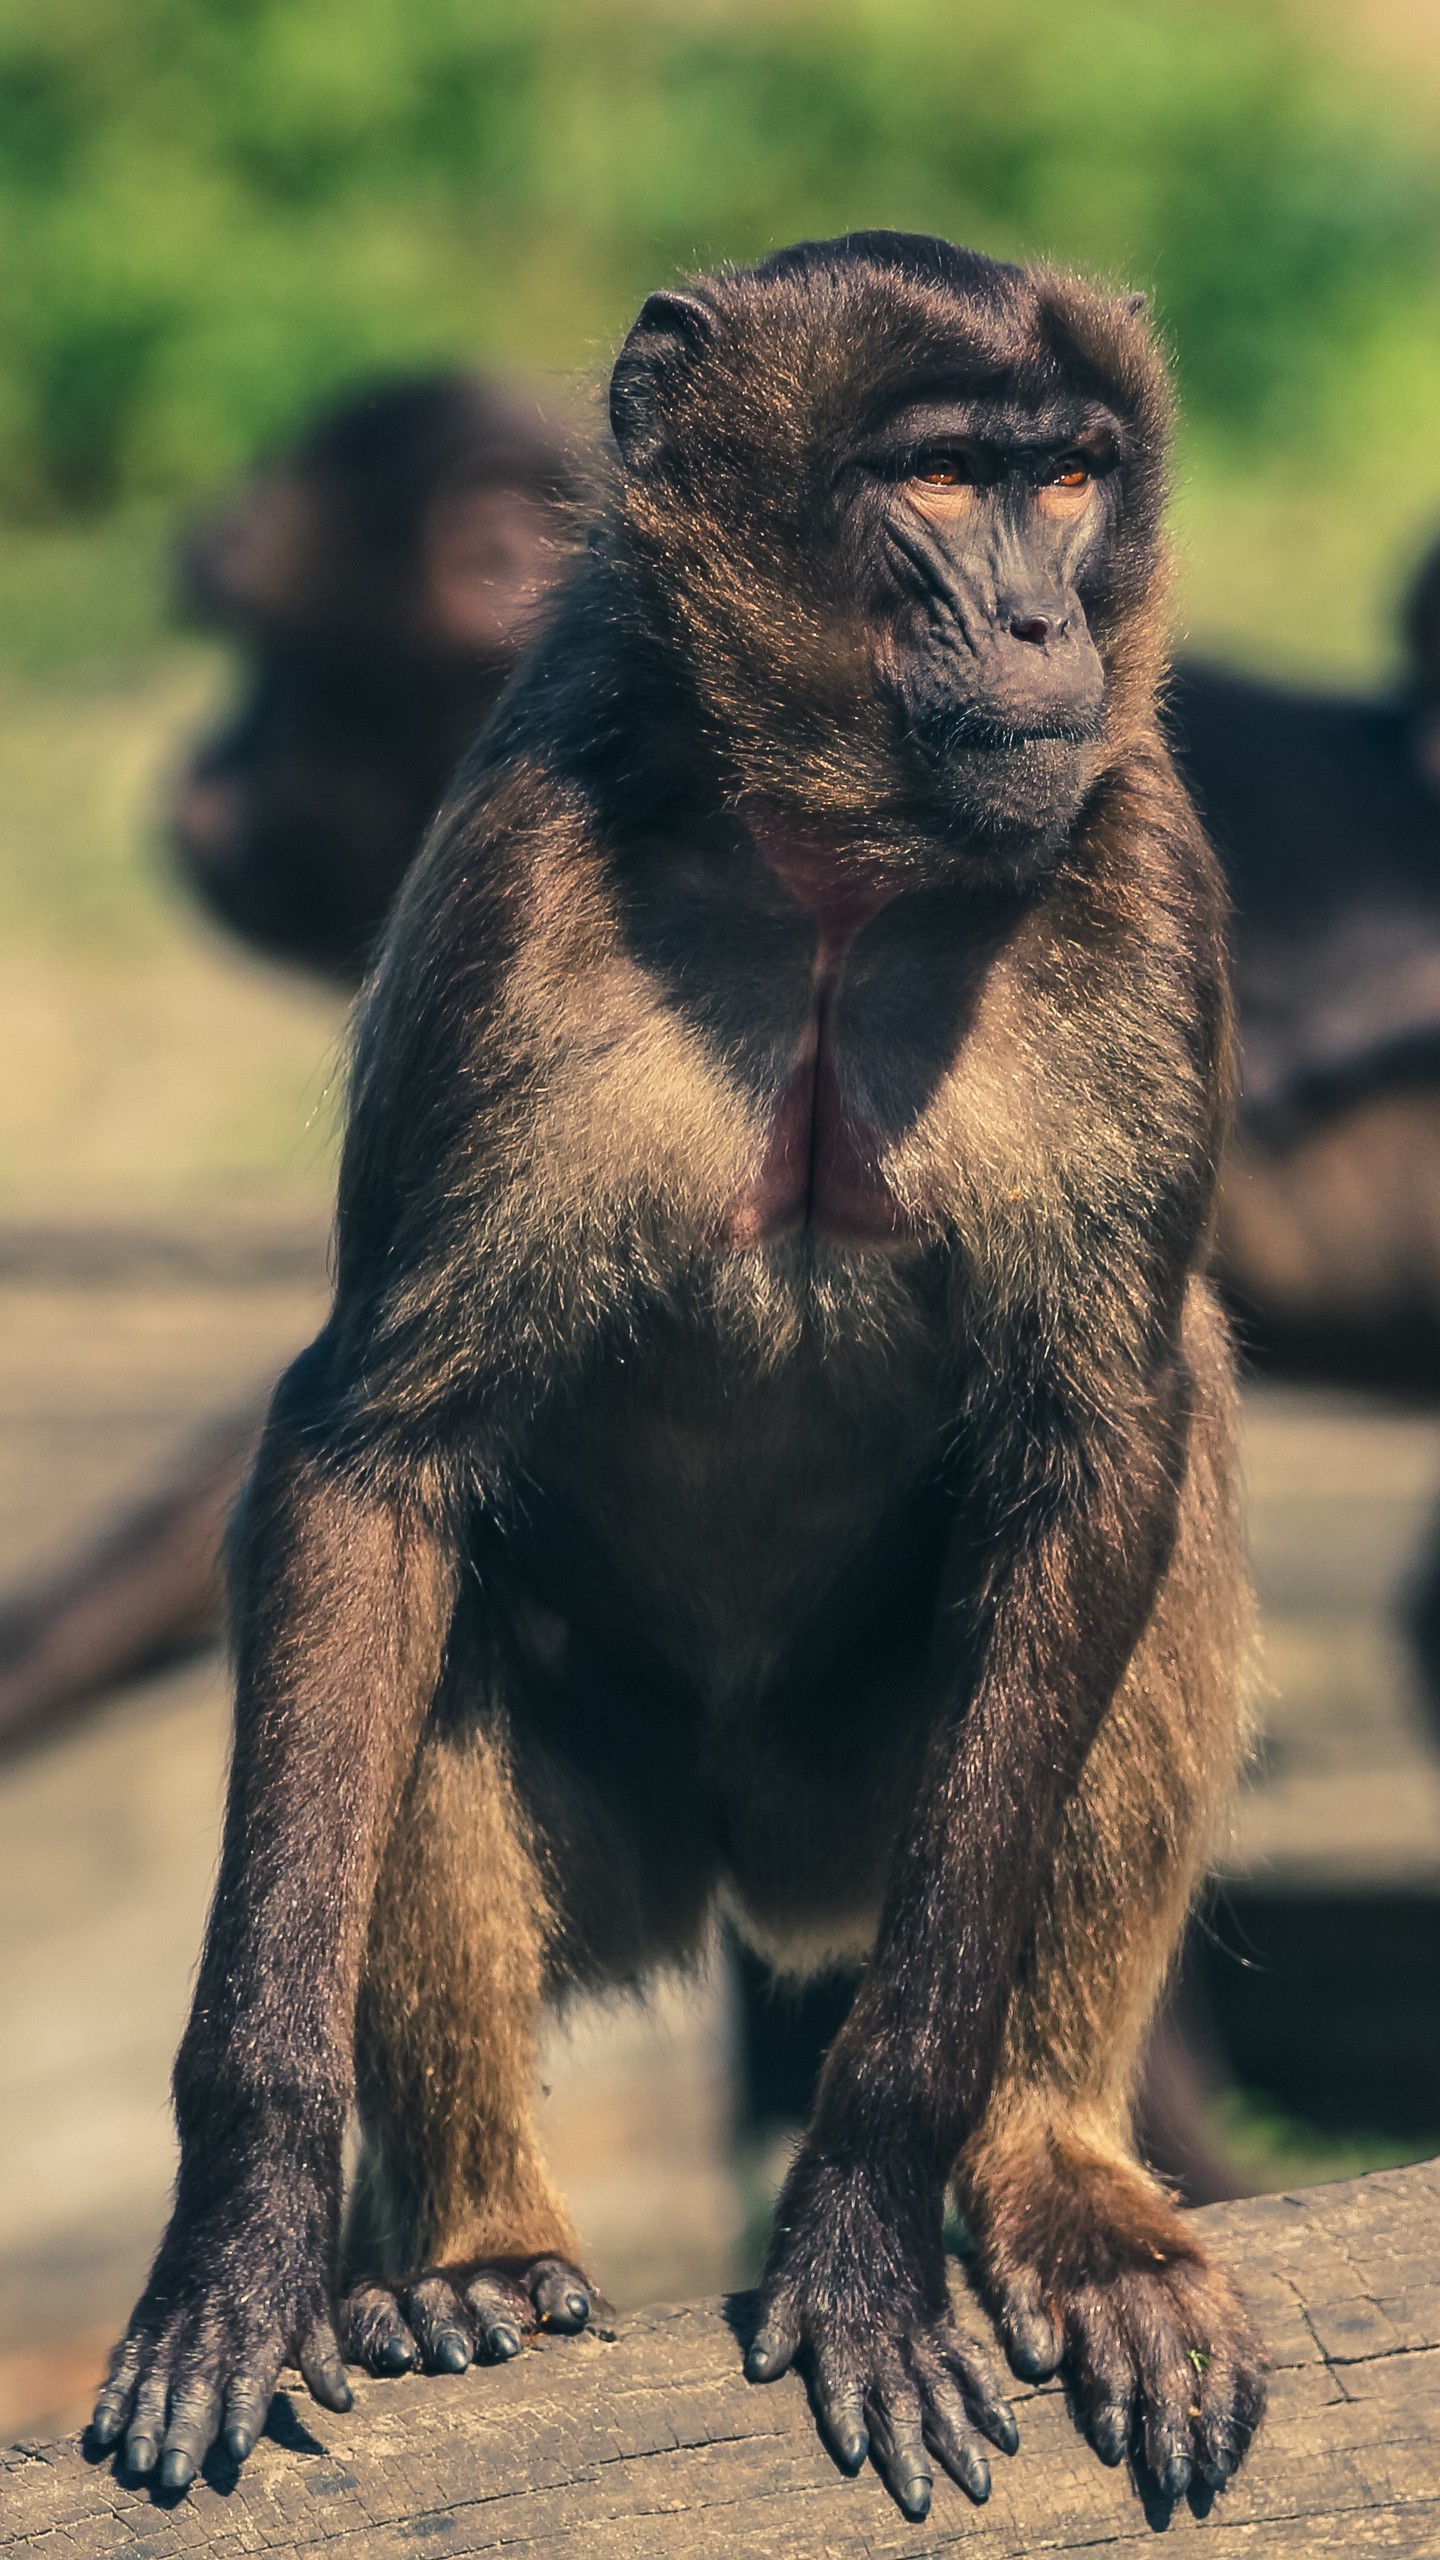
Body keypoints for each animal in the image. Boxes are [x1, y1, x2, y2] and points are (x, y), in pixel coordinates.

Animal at [92, 240, 1255, 2519]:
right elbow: (372, 1462)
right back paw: (473, 2246)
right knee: (423, 1600)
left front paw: (872, 2208)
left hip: (864, 1806)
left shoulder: (1144, 870)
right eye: (944, 478)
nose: (1045, 625)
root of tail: (753, 1873)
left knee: (1172, 1446)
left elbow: (1103, 1443)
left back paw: (1057, 2170)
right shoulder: (513, 883)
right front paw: (247, 2231)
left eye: (1069, 475)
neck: (834, 871)